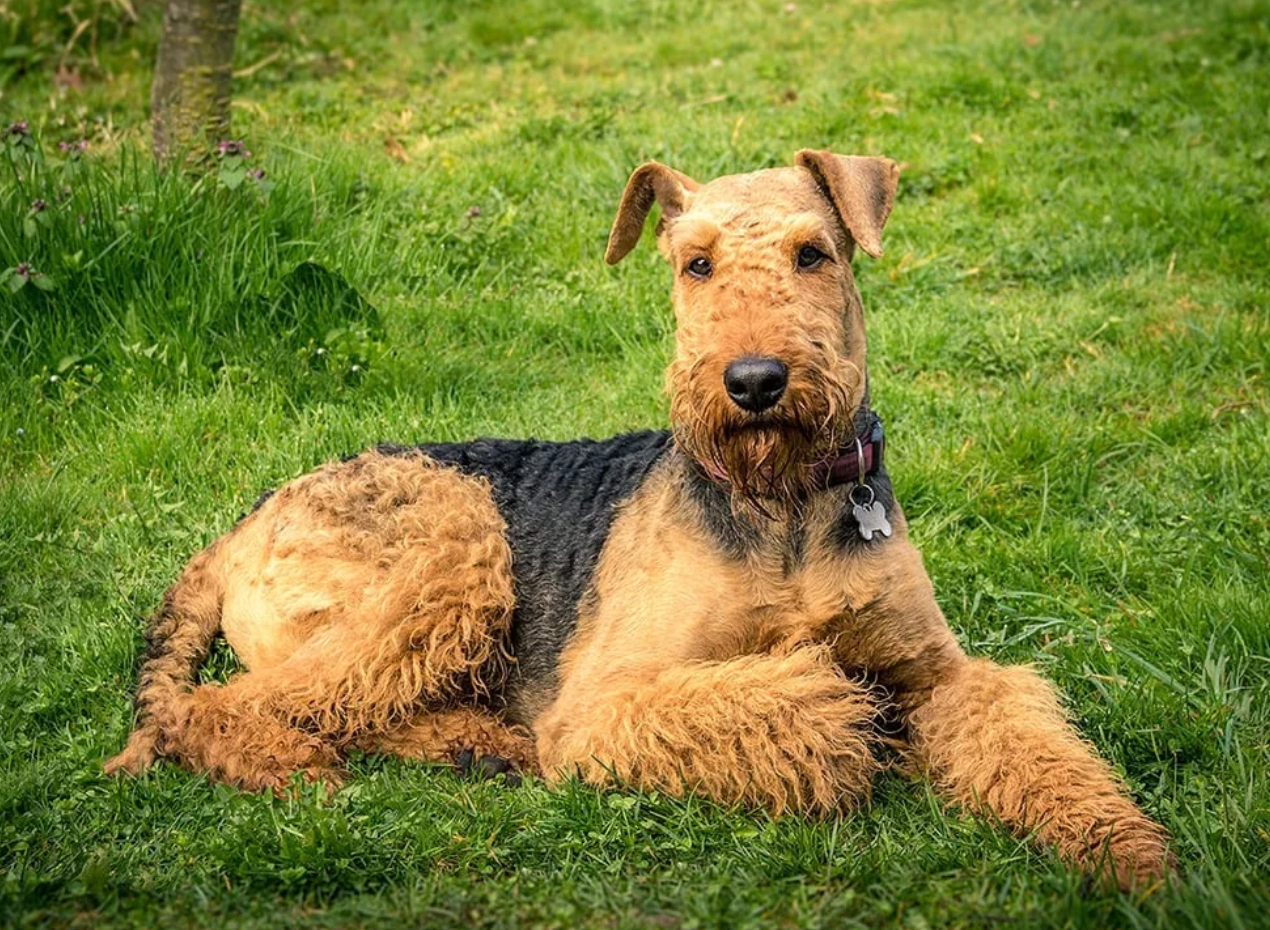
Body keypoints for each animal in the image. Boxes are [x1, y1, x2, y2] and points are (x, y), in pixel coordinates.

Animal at [104, 152, 1173, 894]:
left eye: (813, 253)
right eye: (696, 264)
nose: (754, 381)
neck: (782, 504)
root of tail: (242, 524)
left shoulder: (943, 676)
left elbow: (1027, 737)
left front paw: (1129, 851)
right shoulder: (602, 702)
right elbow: (799, 698)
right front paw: (838, 706)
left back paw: (480, 747)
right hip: (455, 546)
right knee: (230, 705)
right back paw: (300, 767)